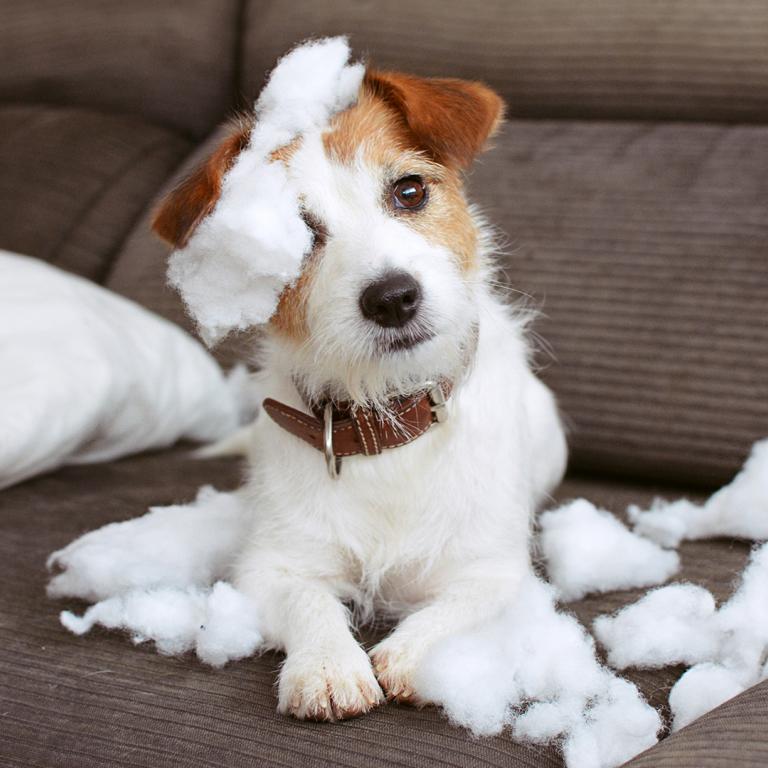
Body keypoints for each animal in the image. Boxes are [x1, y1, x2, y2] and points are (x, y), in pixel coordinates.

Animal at [153, 46, 568, 720]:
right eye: (297, 236)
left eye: (409, 190)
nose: (393, 298)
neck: (386, 420)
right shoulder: (274, 566)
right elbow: (308, 603)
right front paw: (327, 666)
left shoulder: (493, 572)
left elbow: (454, 610)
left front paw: (407, 655)